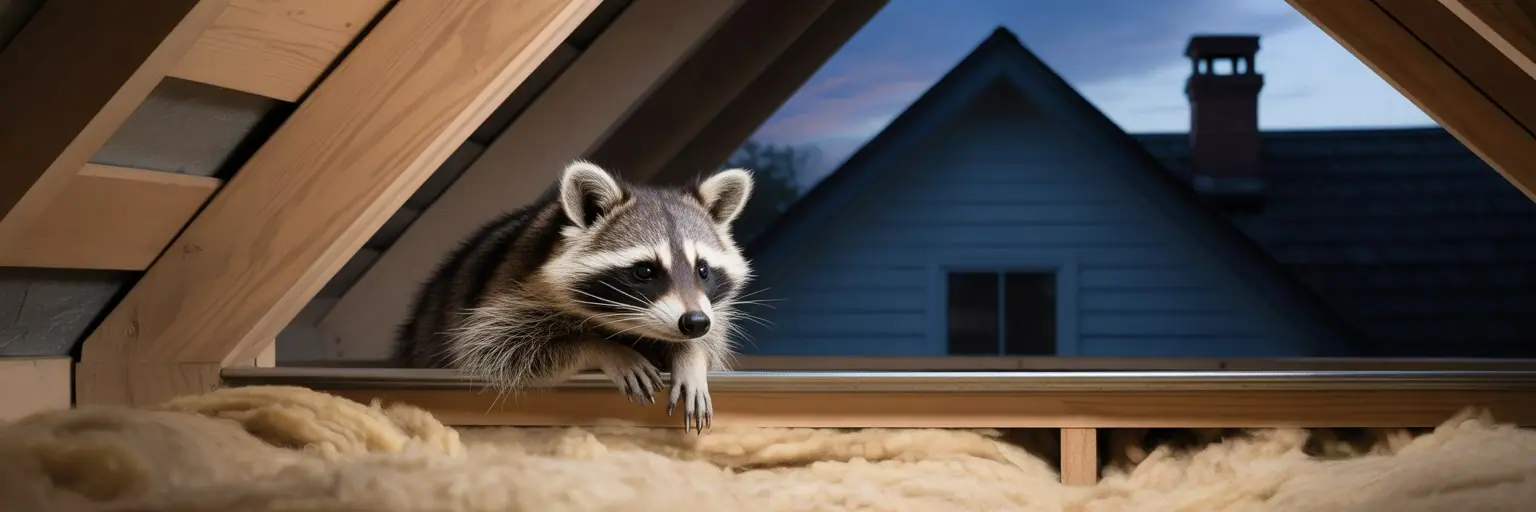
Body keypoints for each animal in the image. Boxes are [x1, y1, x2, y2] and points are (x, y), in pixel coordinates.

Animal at [392, 160, 755, 433]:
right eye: (644, 271)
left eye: (703, 270)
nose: (694, 322)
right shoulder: (507, 294)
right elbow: (495, 353)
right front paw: (605, 349)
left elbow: (709, 341)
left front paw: (689, 356)